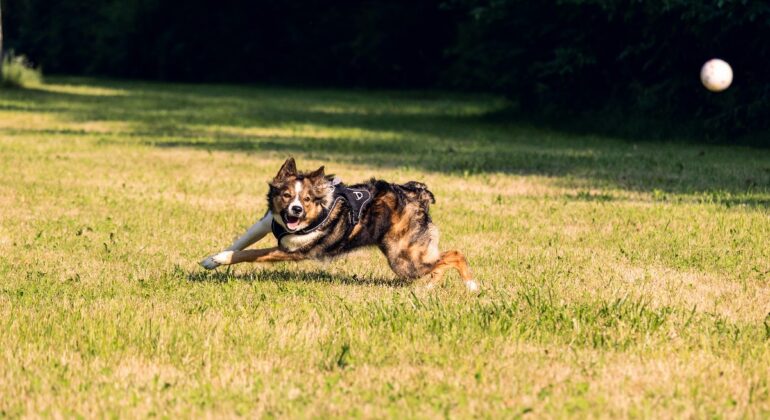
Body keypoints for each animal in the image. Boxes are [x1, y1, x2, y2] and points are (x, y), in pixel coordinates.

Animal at [200, 158, 474, 292]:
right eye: (287, 195)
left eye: (307, 199)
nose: (296, 210)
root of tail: (417, 194)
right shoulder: (267, 222)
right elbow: (242, 242)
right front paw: (212, 259)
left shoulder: (294, 250)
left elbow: (251, 253)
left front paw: (221, 259)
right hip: (410, 255)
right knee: (440, 261)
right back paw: (430, 286)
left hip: (403, 259)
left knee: (455, 254)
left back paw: (470, 285)